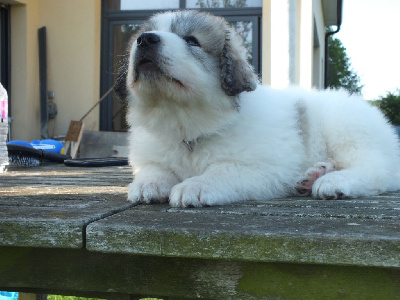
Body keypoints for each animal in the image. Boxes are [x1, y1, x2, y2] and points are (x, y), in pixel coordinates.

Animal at [114, 9, 400, 206]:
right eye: (141, 38)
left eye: (192, 40)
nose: (145, 40)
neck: (184, 123)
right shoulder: (152, 154)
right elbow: (154, 168)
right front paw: (149, 184)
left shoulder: (262, 168)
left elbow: (222, 169)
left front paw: (195, 185)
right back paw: (314, 175)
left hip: (347, 129)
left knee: (378, 169)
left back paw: (334, 181)